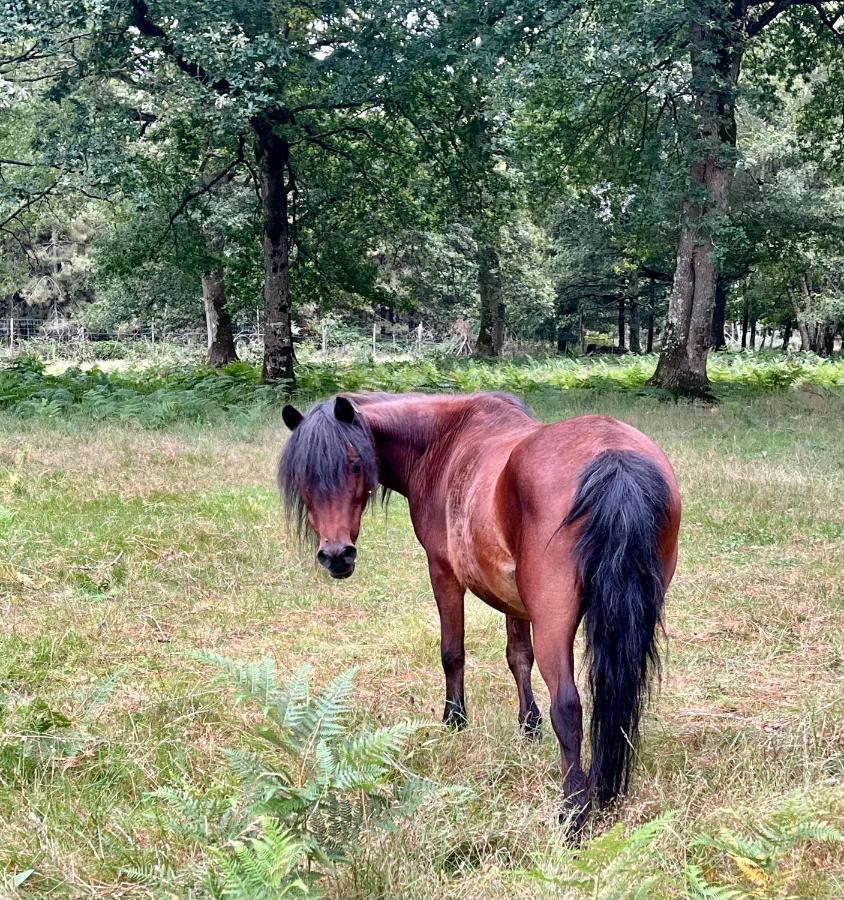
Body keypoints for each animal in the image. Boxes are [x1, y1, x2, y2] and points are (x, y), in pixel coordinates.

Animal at [280, 390, 684, 832]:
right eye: (303, 474)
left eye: (354, 464)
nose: (336, 555)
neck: (441, 441)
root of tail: (614, 458)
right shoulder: (514, 596)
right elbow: (518, 656)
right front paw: (528, 725)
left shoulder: (443, 572)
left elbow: (452, 653)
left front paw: (454, 719)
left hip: (554, 622)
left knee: (569, 707)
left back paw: (573, 813)